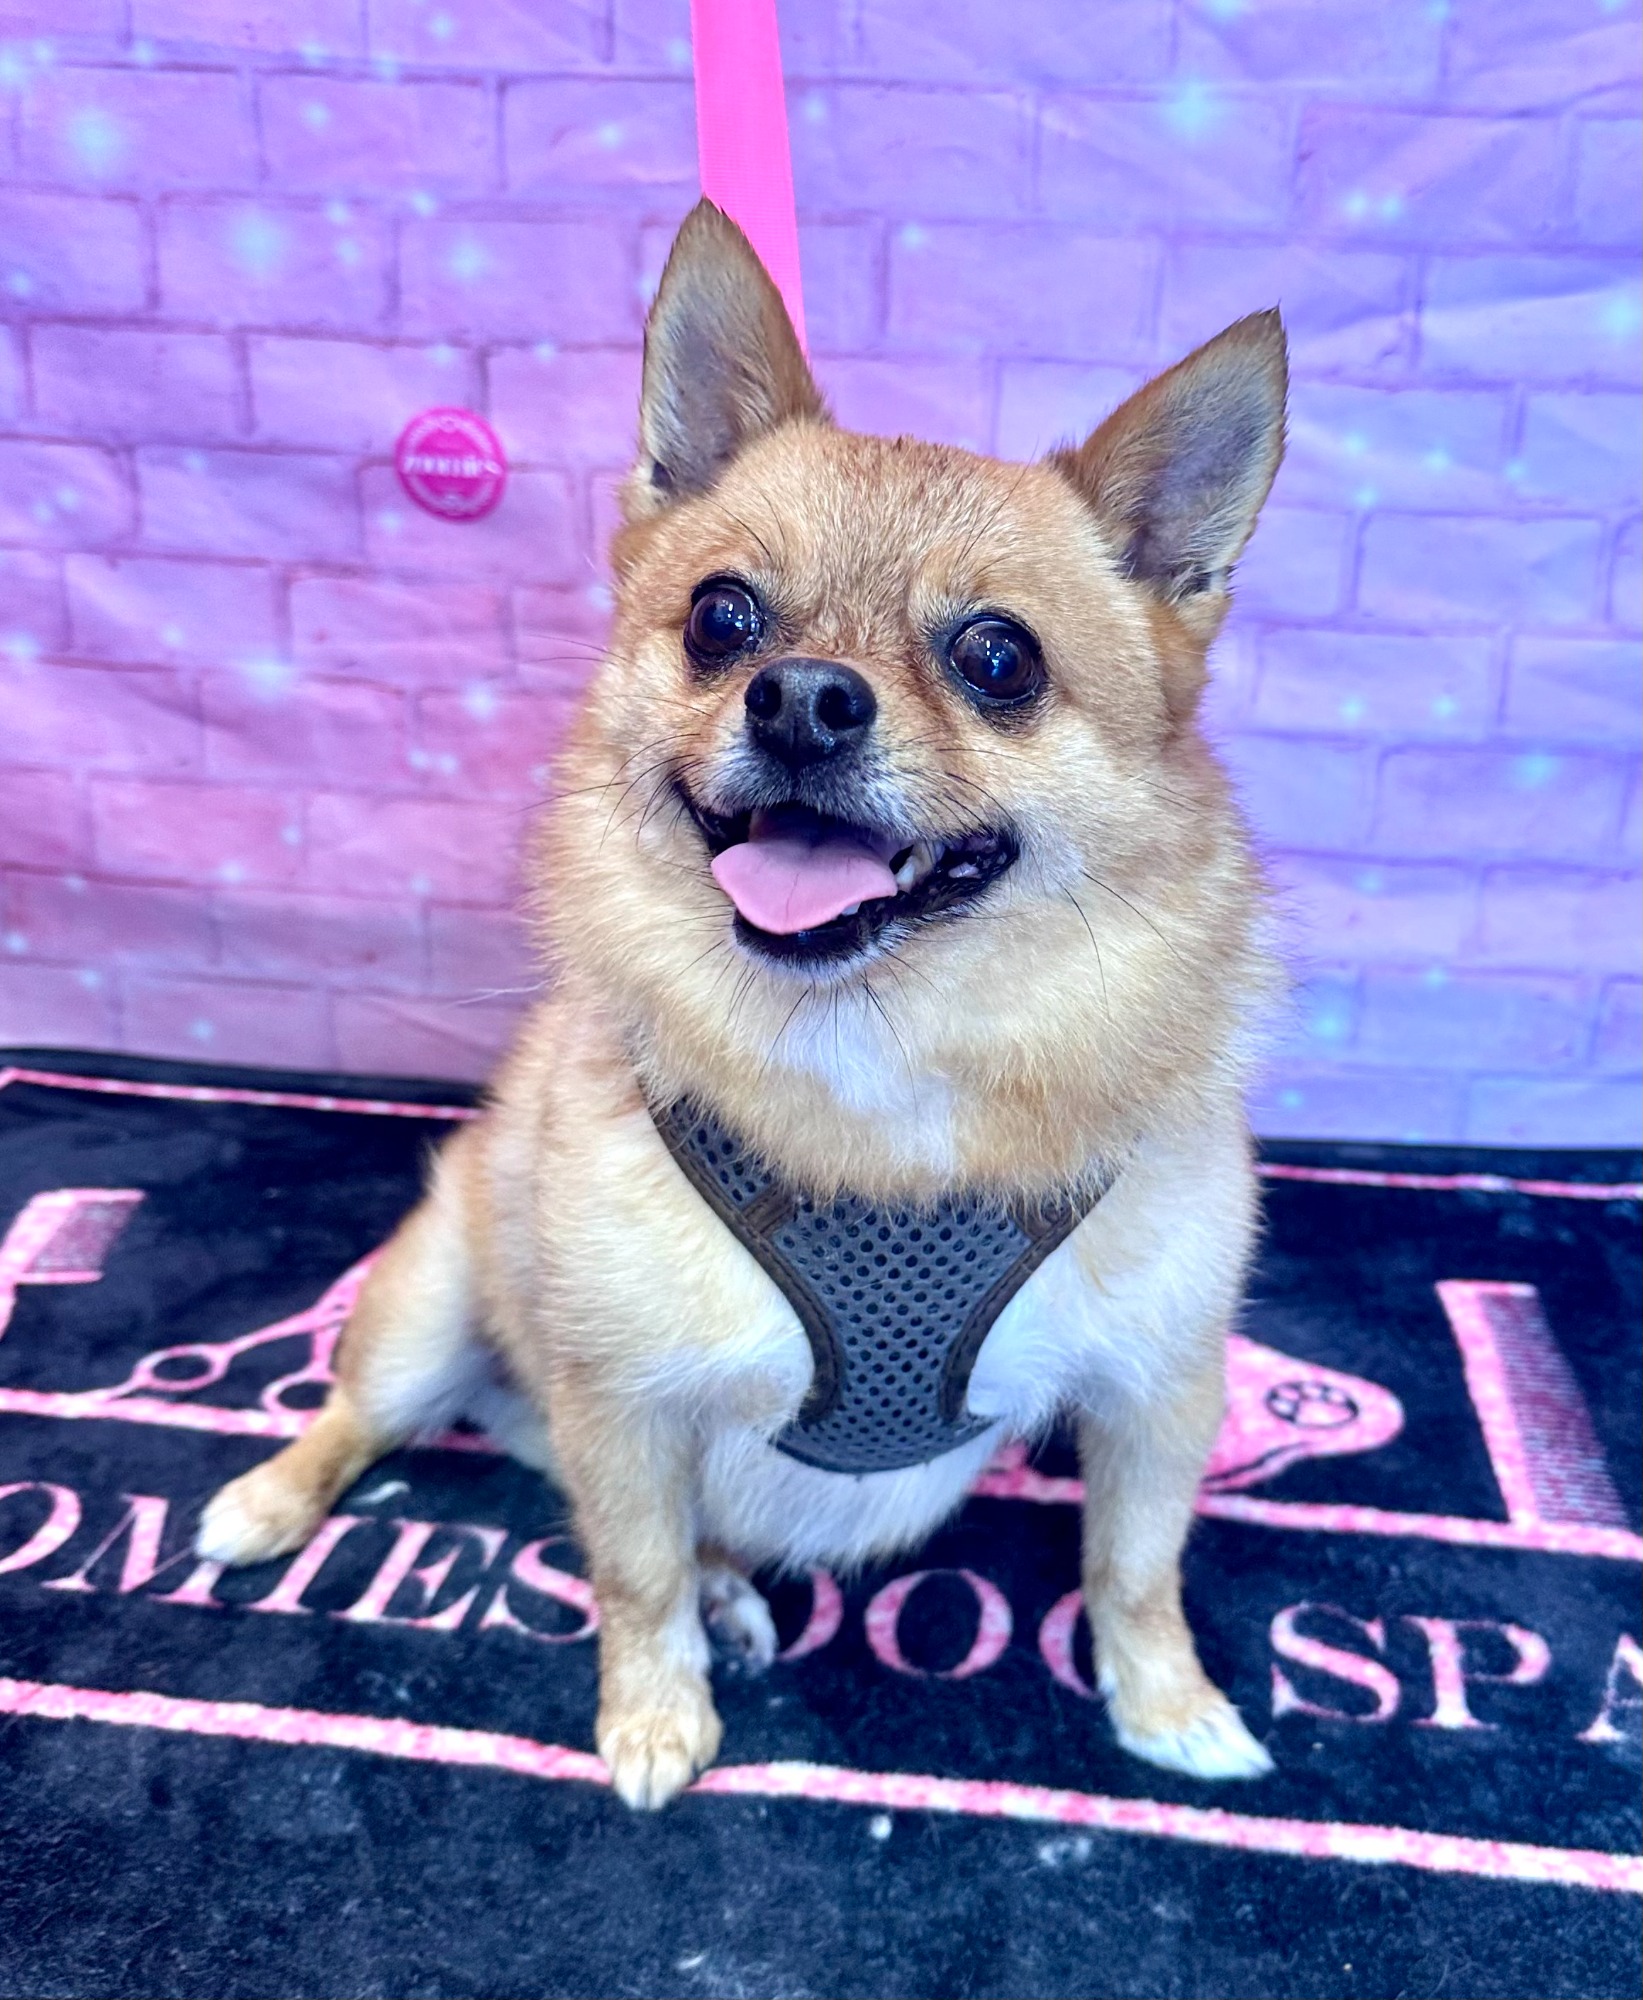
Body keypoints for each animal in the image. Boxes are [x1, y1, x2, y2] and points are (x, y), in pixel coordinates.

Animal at [198, 199, 1289, 1809]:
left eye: (998, 657)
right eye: (721, 618)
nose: (802, 697)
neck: (877, 1057)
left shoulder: (1156, 1391)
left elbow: (1133, 1568)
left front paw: (1163, 1704)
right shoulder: (625, 1400)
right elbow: (631, 1571)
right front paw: (654, 1712)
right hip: (429, 1309)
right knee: (363, 1419)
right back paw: (273, 1503)